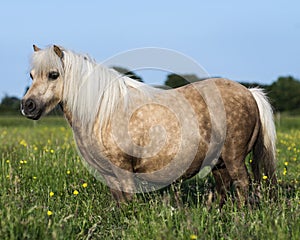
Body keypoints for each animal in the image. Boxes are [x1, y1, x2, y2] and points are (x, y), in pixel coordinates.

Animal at [21, 45, 276, 206]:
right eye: (31, 75)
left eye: (54, 74)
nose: (28, 106)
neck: (102, 112)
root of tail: (249, 93)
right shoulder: (109, 175)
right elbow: (119, 204)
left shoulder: (123, 171)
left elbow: (128, 203)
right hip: (219, 163)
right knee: (224, 189)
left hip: (234, 159)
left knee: (242, 186)